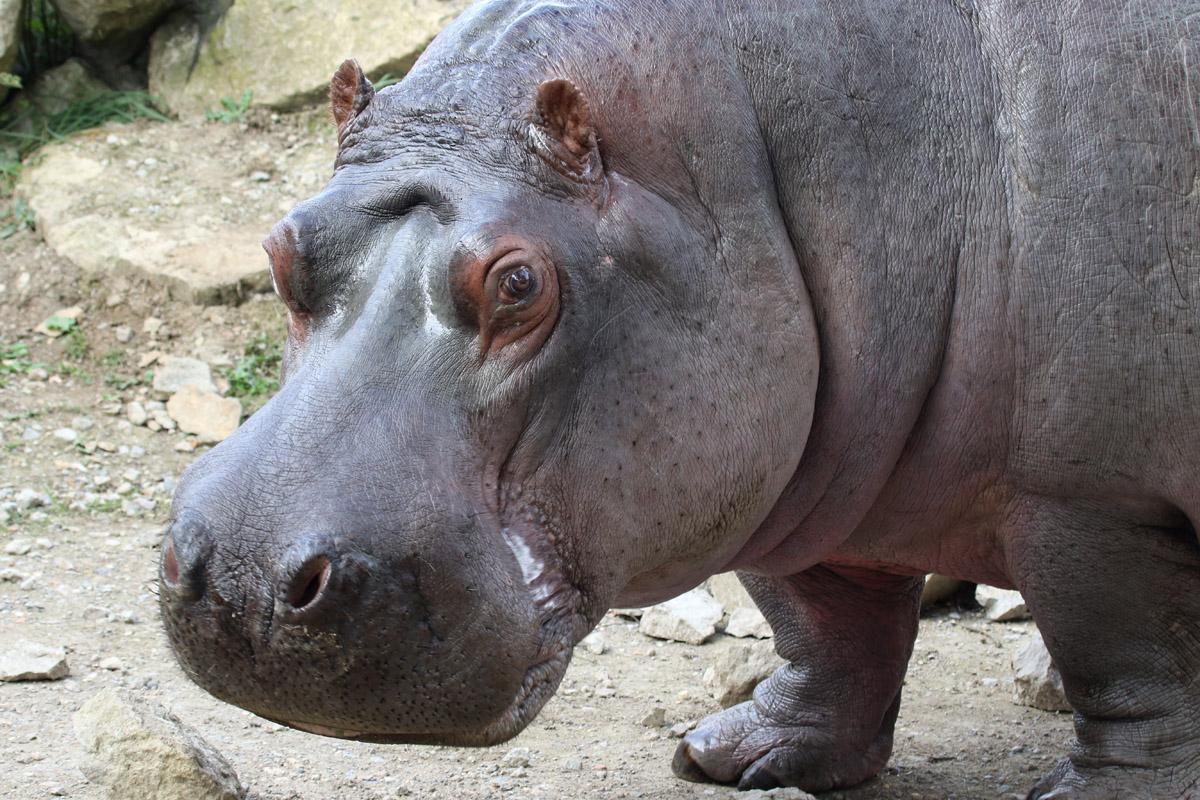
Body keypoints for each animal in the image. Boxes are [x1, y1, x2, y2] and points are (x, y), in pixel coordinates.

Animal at [158, 1, 1200, 797]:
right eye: (281, 244)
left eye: (518, 284)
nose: (245, 580)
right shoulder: (795, 469)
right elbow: (827, 624)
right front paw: (734, 756)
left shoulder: (1091, 501)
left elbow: (1130, 658)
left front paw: (1102, 795)